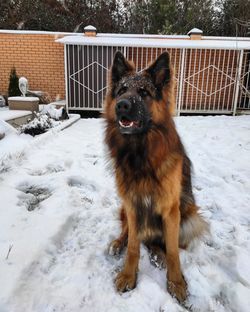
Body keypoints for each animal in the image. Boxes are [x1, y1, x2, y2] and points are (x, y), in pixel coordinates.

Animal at [102, 51, 208, 302]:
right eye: (121, 90)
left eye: (144, 93)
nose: (121, 105)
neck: (140, 152)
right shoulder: (132, 205)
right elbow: (133, 246)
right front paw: (128, 275)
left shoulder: (171, 210)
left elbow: (172, 251)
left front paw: (176, 282)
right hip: (125, 209)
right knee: (129, 234)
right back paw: (118, 243)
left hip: (189, 218)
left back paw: (158, 255)